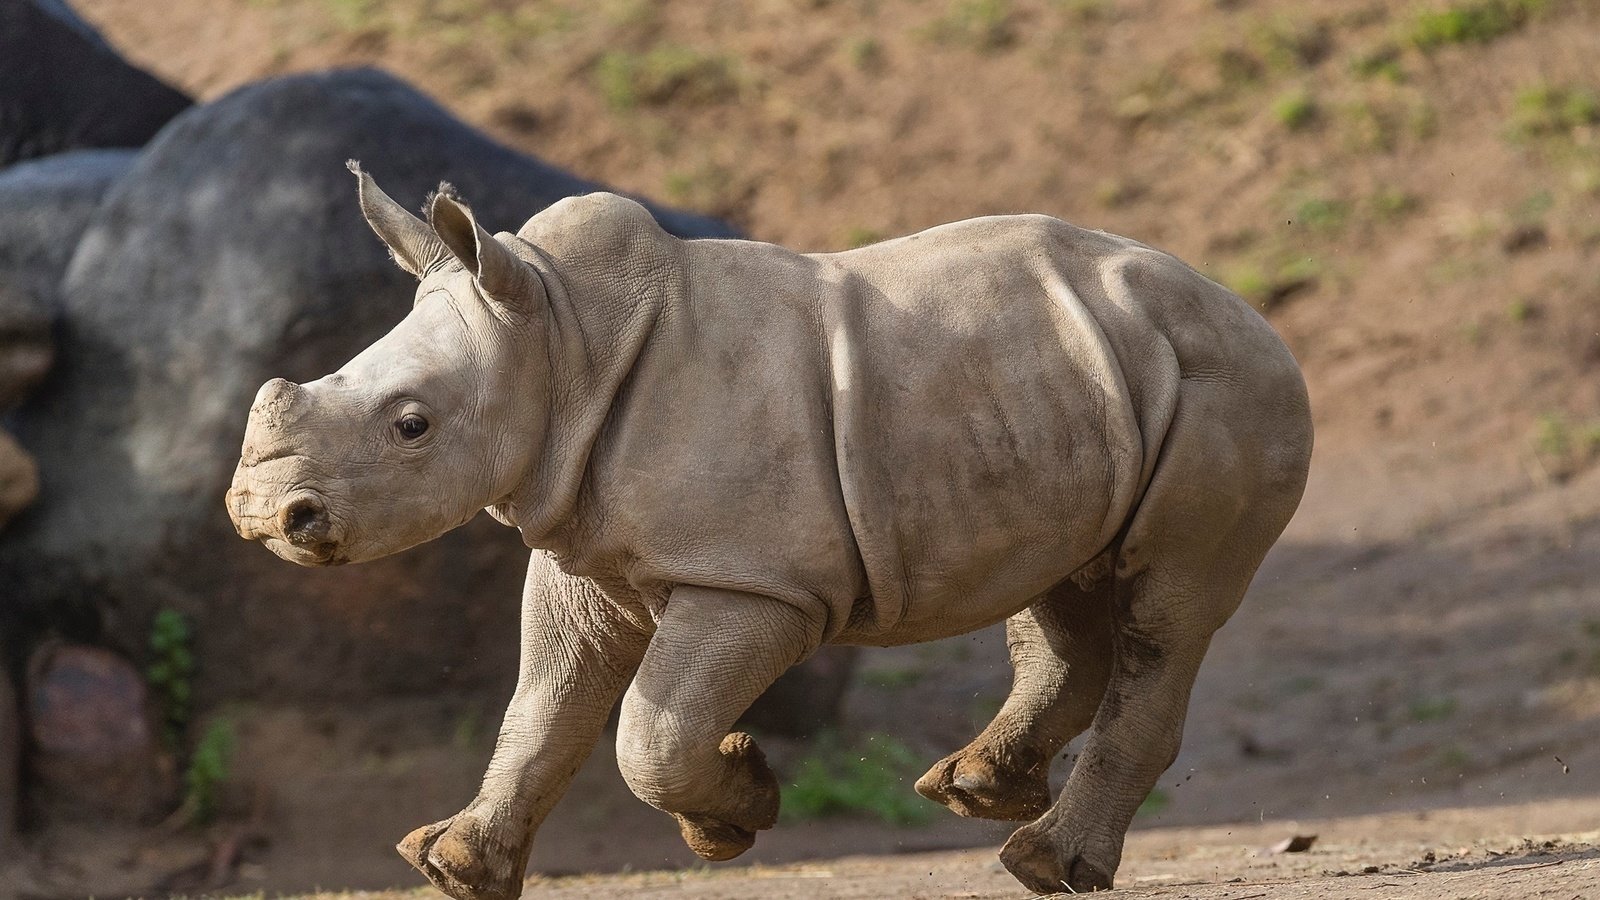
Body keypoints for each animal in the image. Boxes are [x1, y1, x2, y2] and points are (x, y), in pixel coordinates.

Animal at [227, 164, 1312, 898]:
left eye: (411, 425)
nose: (262, 517)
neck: (563, 339)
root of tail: (1253, 313)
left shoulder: (754, 581)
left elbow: (650, 730)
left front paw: (736, 811)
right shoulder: (574, 546)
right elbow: (541, 708)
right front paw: (452, 864)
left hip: (1227, 392)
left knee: (1163, 618)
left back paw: (1042, 863)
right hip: (1085, 388)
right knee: (1060, 584)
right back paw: (973, 790)